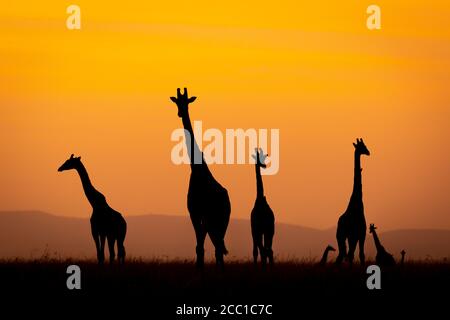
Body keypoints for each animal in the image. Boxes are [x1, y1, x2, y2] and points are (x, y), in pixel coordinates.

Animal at [170, 87, 230, 268]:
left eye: (187, 102)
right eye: (177, 101)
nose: (180, 113)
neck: (197, 169)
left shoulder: (197, 213)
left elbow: (200, 246)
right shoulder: (198, 215)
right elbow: (200, 246)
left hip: (218, 220)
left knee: (218, 247)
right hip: (218, 221)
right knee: (218, 246)